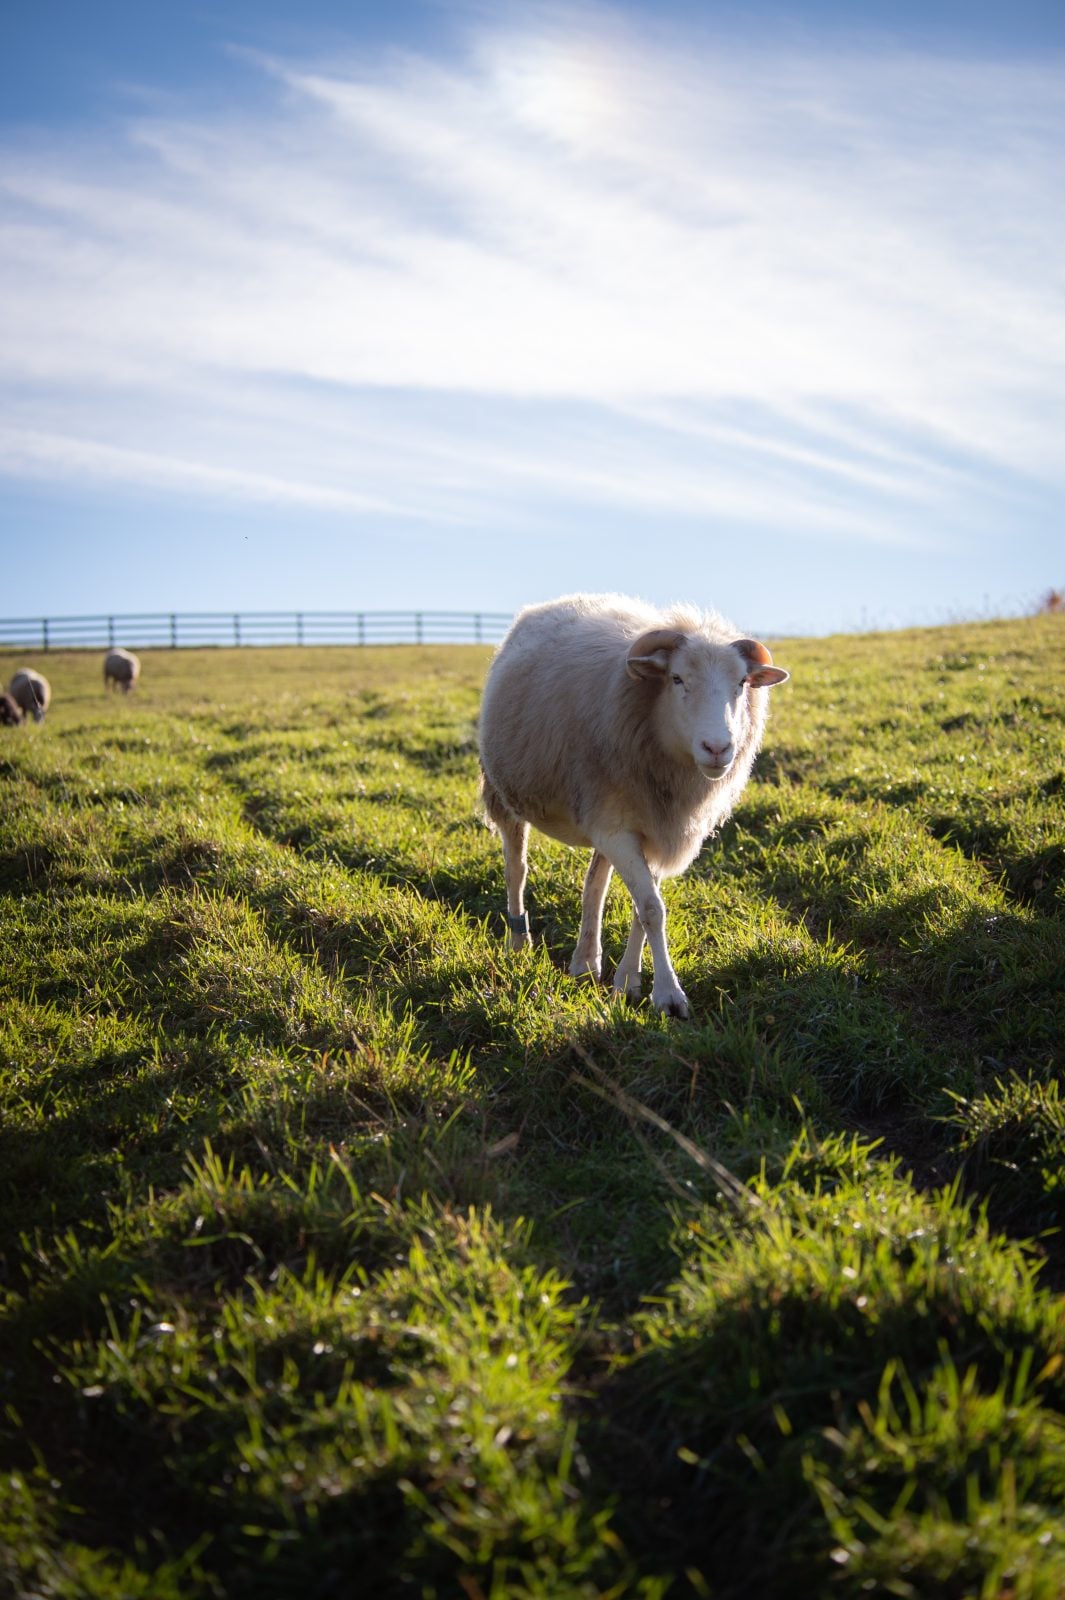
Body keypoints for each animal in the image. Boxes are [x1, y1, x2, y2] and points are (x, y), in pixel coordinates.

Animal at [478, 593, 790, 1018]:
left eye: (742, 682)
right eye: (676, 678)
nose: (718, 748)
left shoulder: (657, 826)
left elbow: (643, 909)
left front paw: (627, 981)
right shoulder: (619, 828)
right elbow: (652, 908)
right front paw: (668, 995)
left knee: (594, 883)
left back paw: (585, 962)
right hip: (508, 794)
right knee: (516, 870)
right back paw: (519, 944)